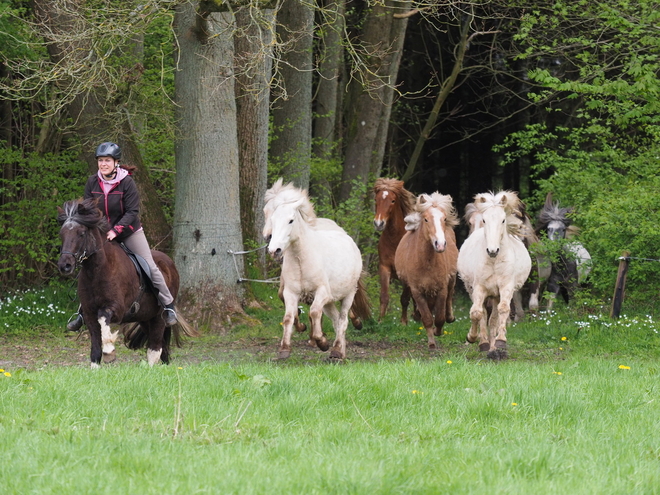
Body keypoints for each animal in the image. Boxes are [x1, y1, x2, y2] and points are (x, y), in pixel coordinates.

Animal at [56, 199, 196, 368]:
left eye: (81, 233)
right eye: (62, 234)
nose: (65, 265)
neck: (97, 270)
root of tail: (169, 262)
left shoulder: (116, 309)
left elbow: (103, 317)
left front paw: (109, 351)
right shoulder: (89, 314)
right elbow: (95, 351)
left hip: (158, 317)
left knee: (155, 348)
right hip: (145, 318)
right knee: (160, 347)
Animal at [266, 182, 372, 360]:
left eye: (291, 220)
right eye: (272, 219)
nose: (275, 250)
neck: (302, 260)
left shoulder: (322, 292)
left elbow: (314, 313)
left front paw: (321, 342)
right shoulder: (290, 293)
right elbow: (288, 318)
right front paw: (284, 349)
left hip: (348, 295)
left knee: (343, 320)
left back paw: (336, 350)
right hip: (330, 302)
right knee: (336, 320)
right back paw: (340, 350)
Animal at [374, 176, 416, 324]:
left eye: (392, 201)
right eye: (376, 199)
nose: (378, 223)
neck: (395, 241)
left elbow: (404, 299)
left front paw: (403, 323)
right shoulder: (384, 267)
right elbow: (384, 296)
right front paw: (380, 320)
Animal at [392, 192, 458, 350]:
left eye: (444, 218)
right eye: (426, 219)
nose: (440, 244)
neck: (426, 262)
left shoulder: (441, 289)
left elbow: (439, 318)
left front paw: (437, 331)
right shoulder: (417, 291)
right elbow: (427, 318)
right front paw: (431, 342)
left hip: (451, 279)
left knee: (450, 297)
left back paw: (450, 316)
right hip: (408, 285)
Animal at [456, 191, 532, 360]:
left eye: (503, 220)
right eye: (485, 220)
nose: (492, 250)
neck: (493, 261)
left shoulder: (506, 287)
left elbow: (503, 310)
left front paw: (500, 342)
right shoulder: (479, 288)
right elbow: (476, 313)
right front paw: (472, 338)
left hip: (496, 294)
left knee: (493, 319)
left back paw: (492, 349)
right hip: (473, 290)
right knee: (483, 315)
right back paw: (483, 343)